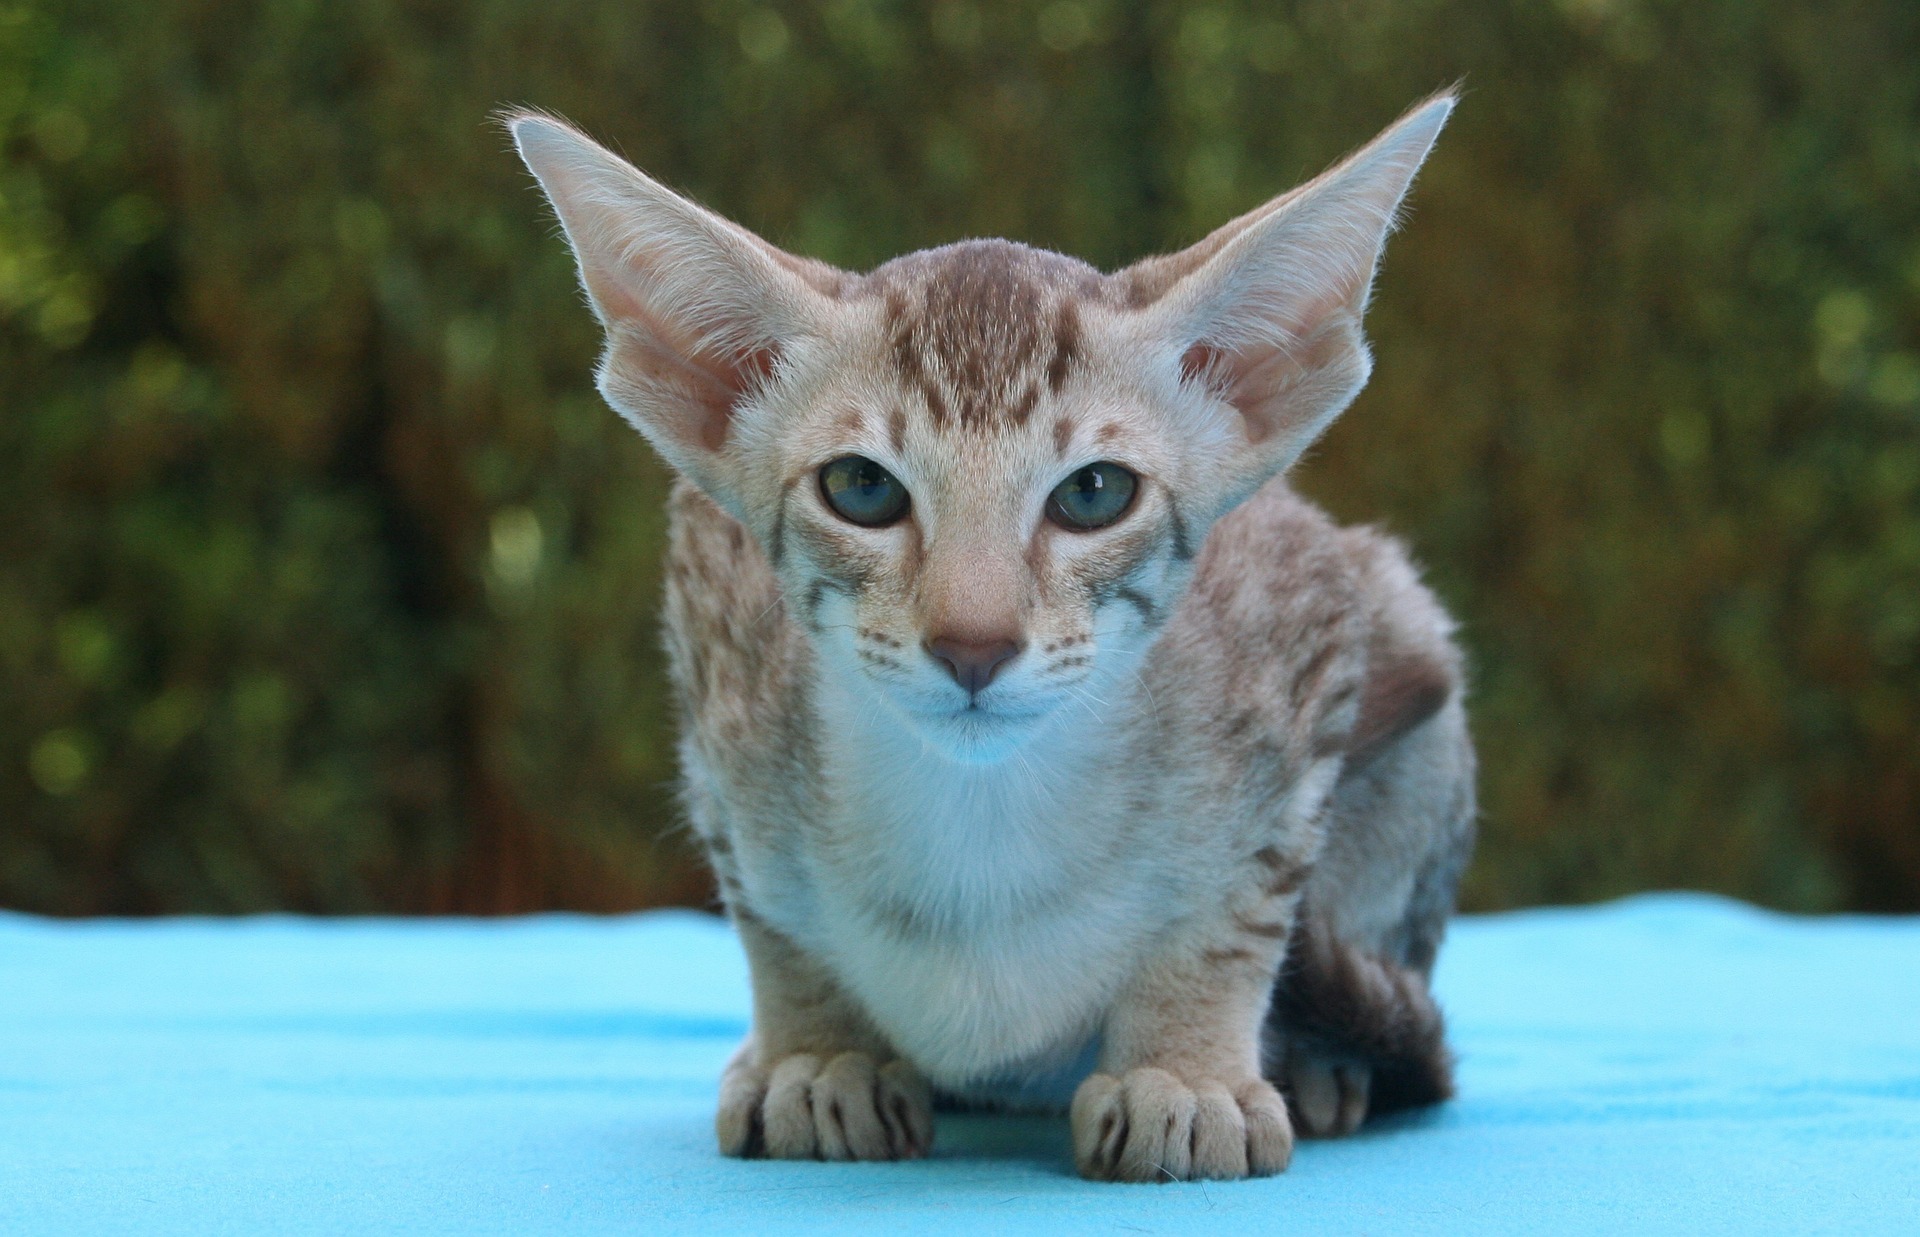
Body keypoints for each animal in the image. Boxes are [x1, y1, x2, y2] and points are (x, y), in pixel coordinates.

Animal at [506, 89, 1466, 1175]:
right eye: (861, 486)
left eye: (1094, 493)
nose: (974, 643)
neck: (983, 824)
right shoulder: (713, 642)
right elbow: (771, 917)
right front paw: (817, 1050)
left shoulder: (1312, 623)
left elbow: (1241, 904)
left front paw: (1182, 1065)